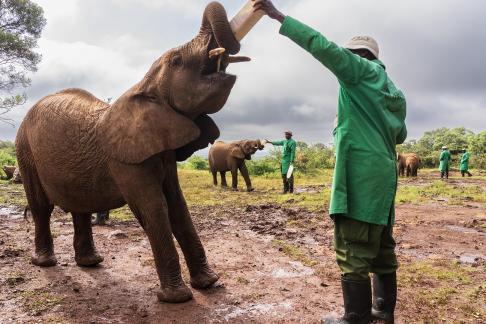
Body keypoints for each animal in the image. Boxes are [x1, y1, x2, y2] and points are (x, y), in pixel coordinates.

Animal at [15, 1, 251, 302]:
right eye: (177, 61)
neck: (143, 86)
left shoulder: (163, 148)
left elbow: (178, 205)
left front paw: (208, 283)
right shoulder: (125, 159)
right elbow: (154, 208)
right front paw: (176, 298)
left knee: (79, 205)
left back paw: (91, 263)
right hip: (25, 151)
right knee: (41, 206)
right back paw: (44, 263)